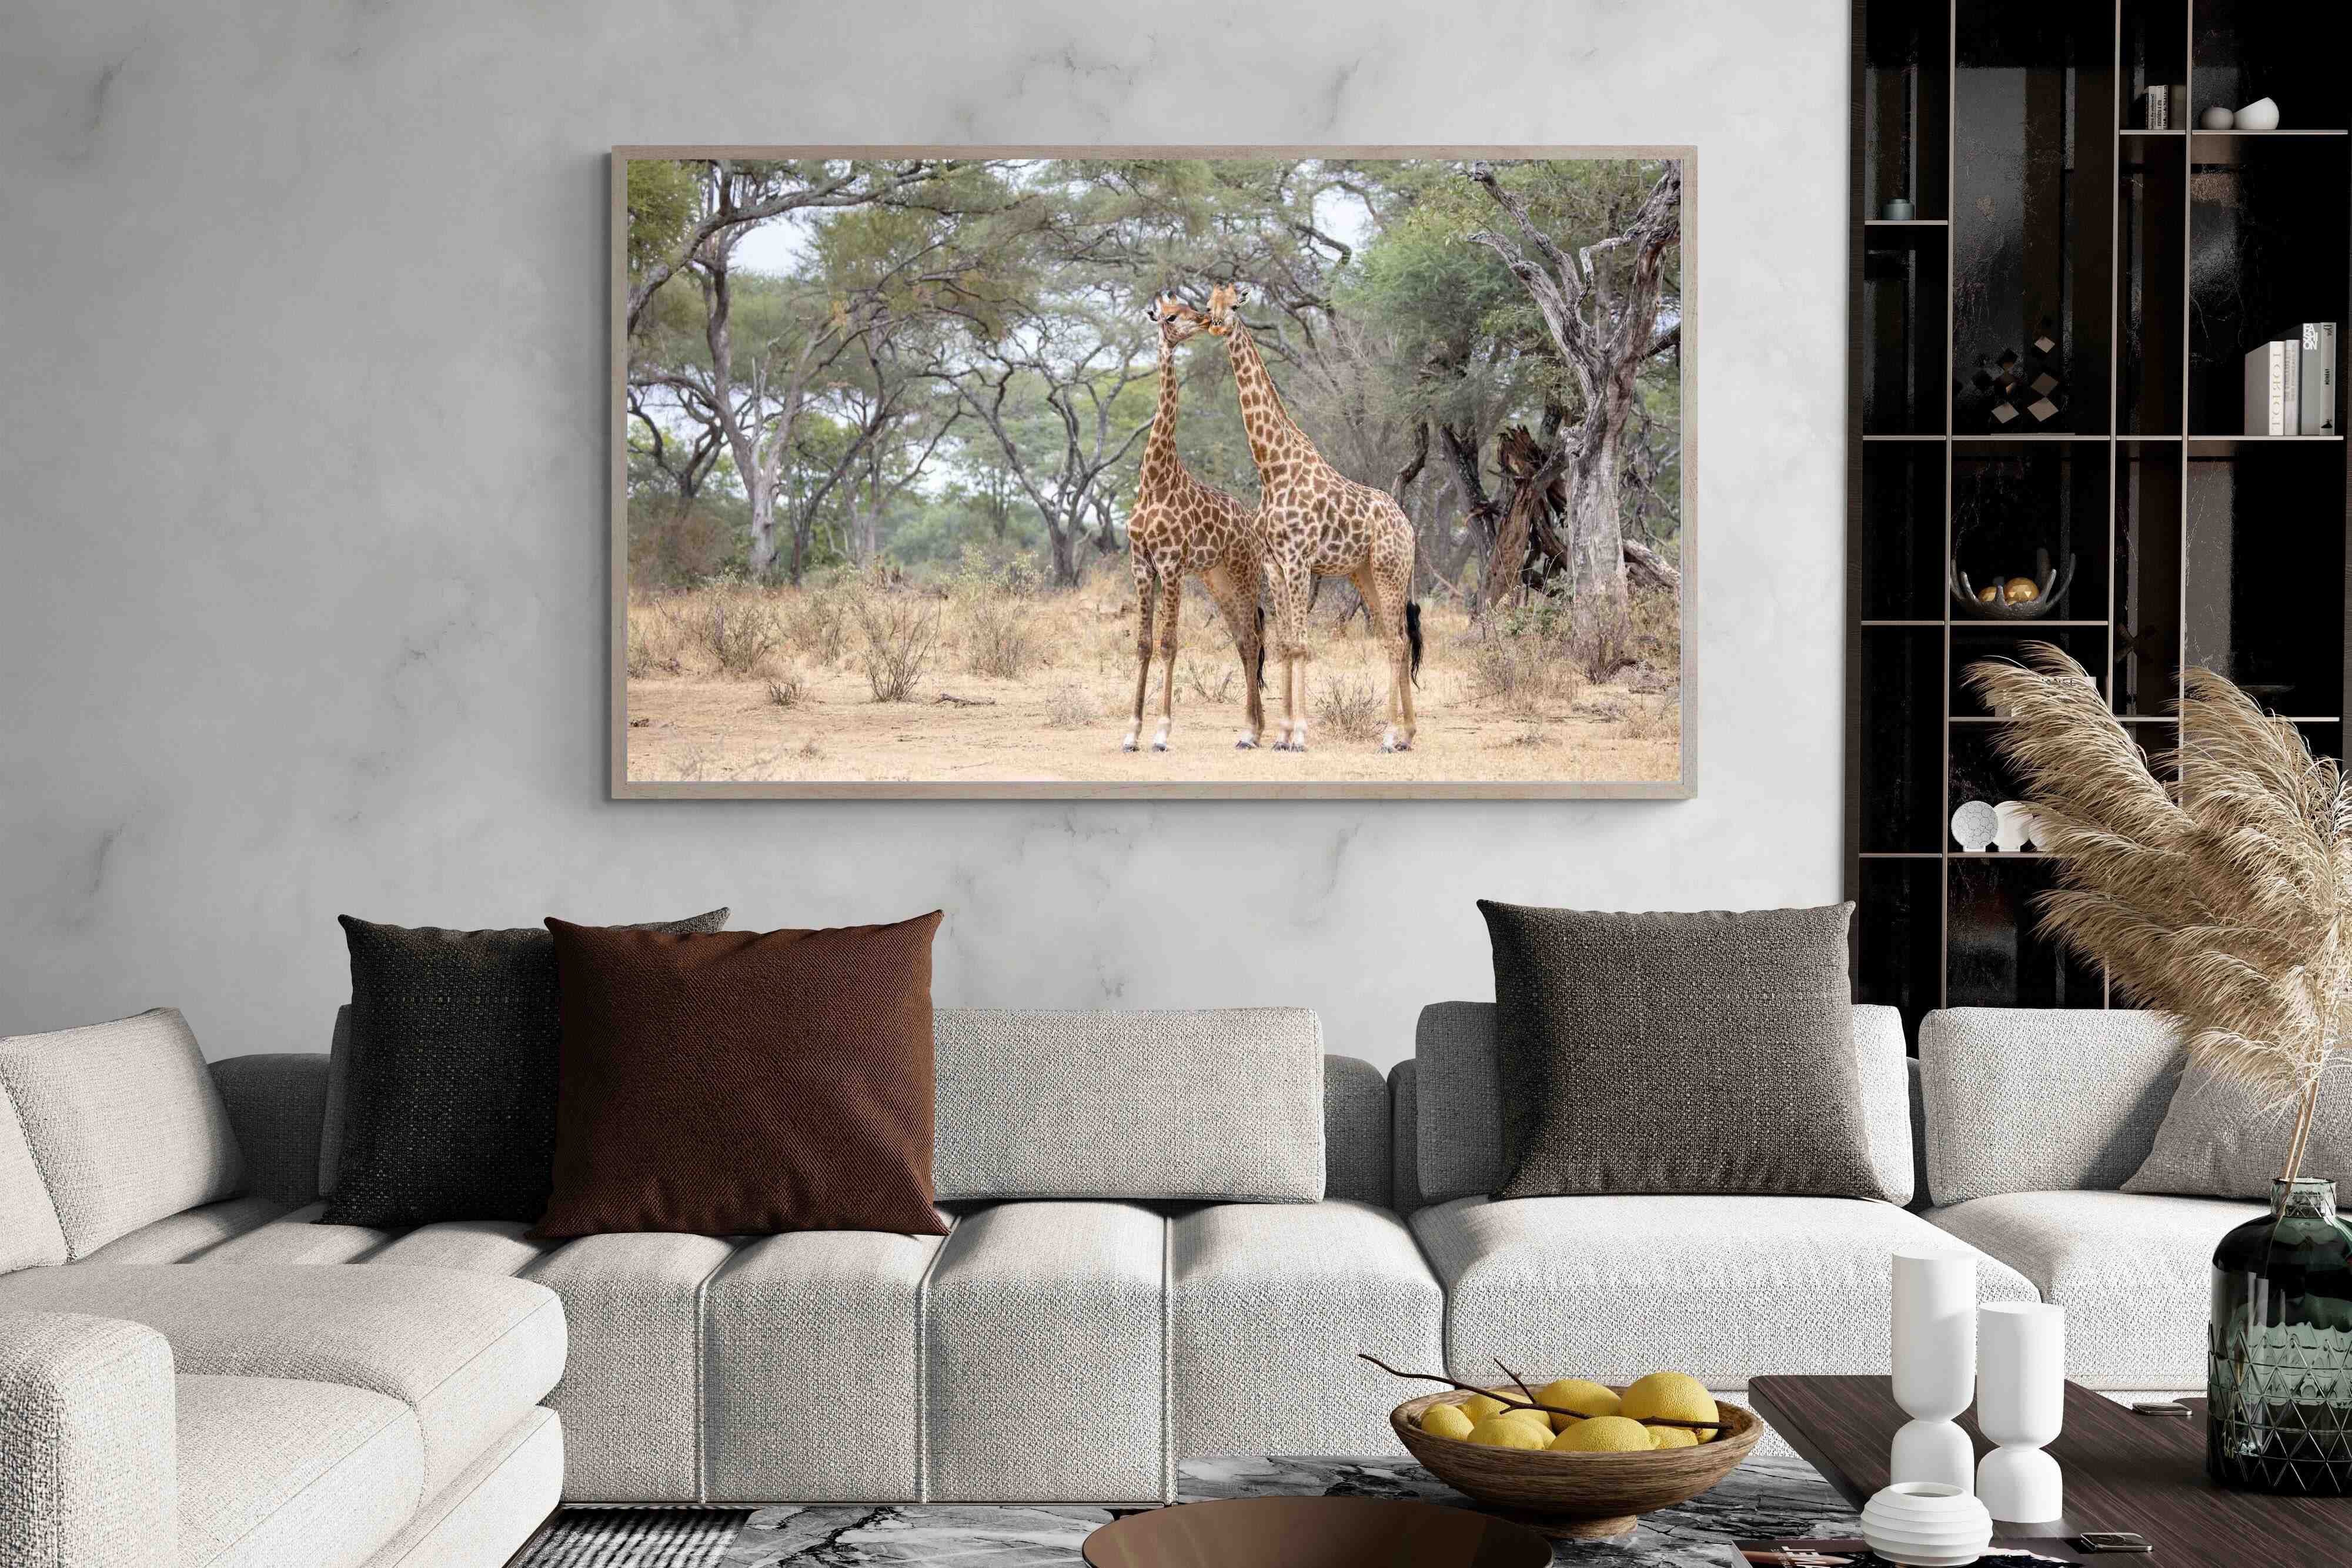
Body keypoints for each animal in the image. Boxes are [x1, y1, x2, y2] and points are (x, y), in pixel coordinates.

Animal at [1122, 295, 1267, 753]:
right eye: (1170, 315)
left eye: (1188, 307)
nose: (1204, 320)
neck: (1155, 481)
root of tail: (1251, 526)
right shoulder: (1141, 564)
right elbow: (1144, 644)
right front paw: (1131, 732)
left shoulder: (1170, 564)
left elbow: (1169, 643)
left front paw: (1162, 733)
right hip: (1215, 579)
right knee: (1243, 641)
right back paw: (1257, 728)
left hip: (1244, 574)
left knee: (1253, 639)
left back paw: (1250, 731)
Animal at [1202, 283, 1422, 752]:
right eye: (1208, 304)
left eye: (1235, 305)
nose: (1215, 324)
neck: (1272, 467)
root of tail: (1409, 527)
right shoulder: (1275, 565)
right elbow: (1286, 643)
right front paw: (1282, 734)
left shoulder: (1299, 560)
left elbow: (1302, 645)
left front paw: (1300, 735)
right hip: (1365, 574)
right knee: (1393, 639)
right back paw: (1407, 734)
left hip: (1390, 570)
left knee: (1398, 642)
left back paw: (1389, 735)